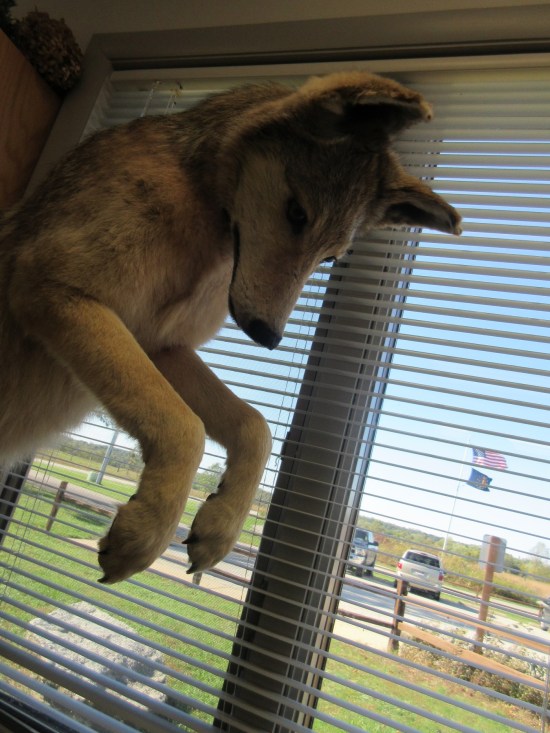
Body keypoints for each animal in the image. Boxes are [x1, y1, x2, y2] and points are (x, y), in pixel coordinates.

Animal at [0, 71, 461, 583]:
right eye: (297, 214)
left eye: (329, 257)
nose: (268, 336)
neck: (202, 211)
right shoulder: (56, 292)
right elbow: (185, 427)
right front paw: (148, 528)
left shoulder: (162, 347)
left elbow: (254, 426)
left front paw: (221, 524)